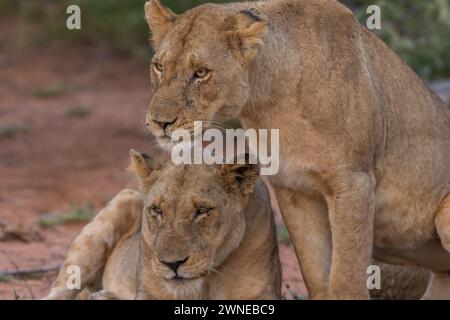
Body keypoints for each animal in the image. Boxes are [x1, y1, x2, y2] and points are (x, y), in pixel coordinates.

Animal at [44, 150, 280, 300]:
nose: (172, 264)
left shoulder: (262, 293)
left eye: (202, 211)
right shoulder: (149, 292)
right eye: (157, 210)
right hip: (126, 197)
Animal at [142, 0, 450, 300]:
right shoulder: (294, 190)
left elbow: (346, 278)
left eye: (201, 73)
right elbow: (317, 278)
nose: (159, 122)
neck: (267, 101)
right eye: (158, 66)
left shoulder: (354, 183)